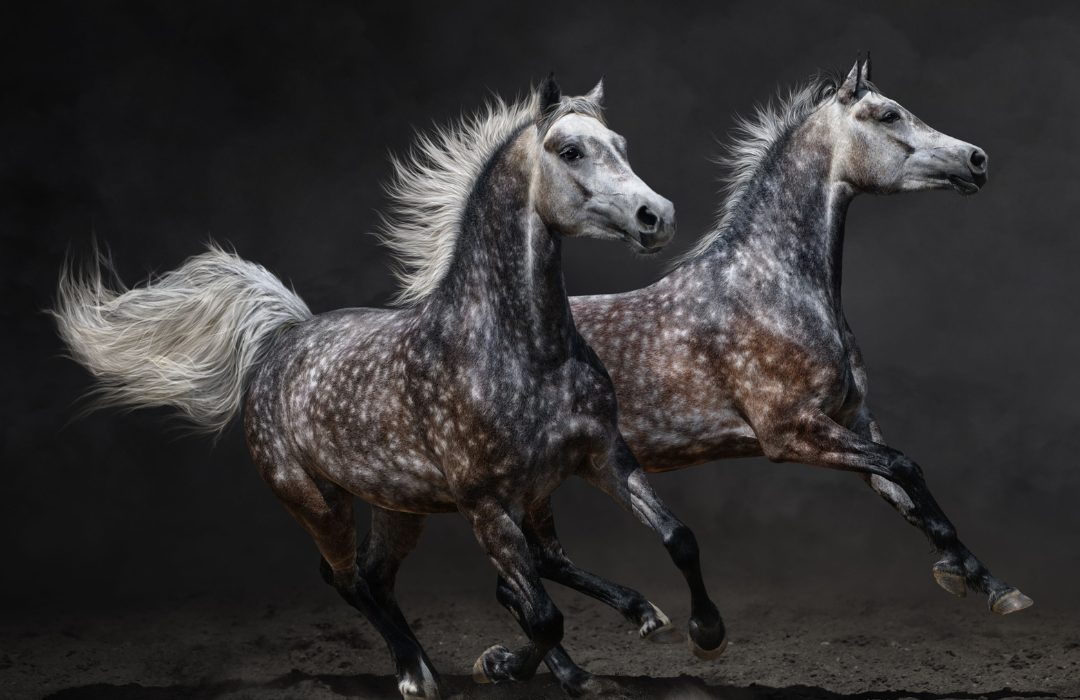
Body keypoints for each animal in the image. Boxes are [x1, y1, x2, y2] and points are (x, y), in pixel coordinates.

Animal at [52, 77, 726, 699]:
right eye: (569, 150)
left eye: (621, 145)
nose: (656, 217)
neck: (521, 350)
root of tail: (279, 341)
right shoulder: (485, 505)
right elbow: (541, 615)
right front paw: (518, 668)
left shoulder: (602, 458)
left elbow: (677, 539)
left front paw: (701, 633)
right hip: (317, 501)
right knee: (349, 579)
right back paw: (415, 674)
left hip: (401, 506)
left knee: (391, 576)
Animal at [564, 56, 1033, 629]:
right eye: (889, 114)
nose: (976, 159)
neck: (774, 288)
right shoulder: (790, 433)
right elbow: (906, 467)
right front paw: (960, 575)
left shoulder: (853, 419)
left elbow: (907, 494)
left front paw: (992, 585)